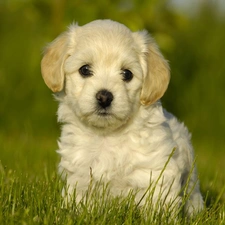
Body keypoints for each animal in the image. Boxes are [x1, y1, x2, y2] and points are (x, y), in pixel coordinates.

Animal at [40, 19, 204, 216]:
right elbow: (80, 204)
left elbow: (157, 205)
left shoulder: (155, 172)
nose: (104, 97)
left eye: (127, 74)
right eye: (85, 69)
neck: (107, 136)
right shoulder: (80, 178)